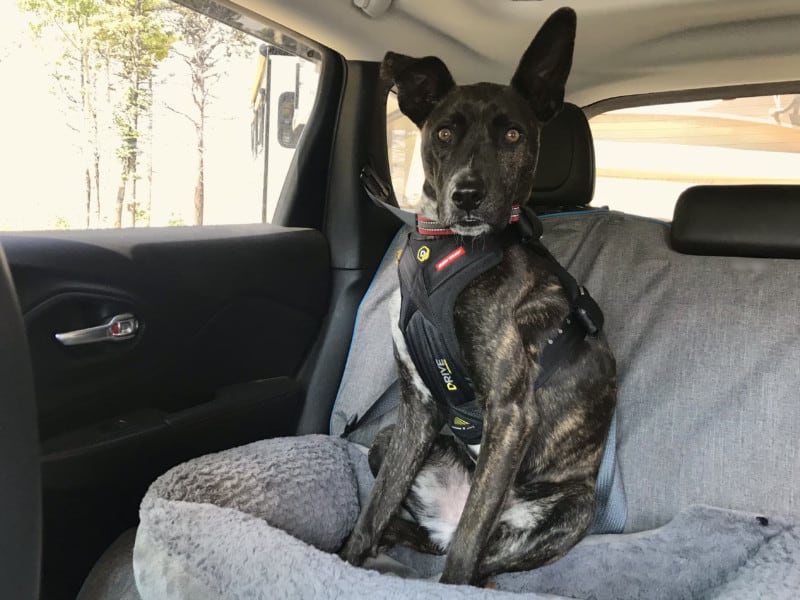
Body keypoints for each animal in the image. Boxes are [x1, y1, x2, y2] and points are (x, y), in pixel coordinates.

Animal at [340, 4, 616, 584]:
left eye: (512, 135)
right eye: (444, 132)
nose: (466, 195)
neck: (445, 249)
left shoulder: (511, 416)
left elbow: (468, 546)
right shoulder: (417, 408)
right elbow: (374, 509)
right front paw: (349, 556)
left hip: (573, 509)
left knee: (474, 553)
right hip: (386, 440)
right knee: (420, 531)